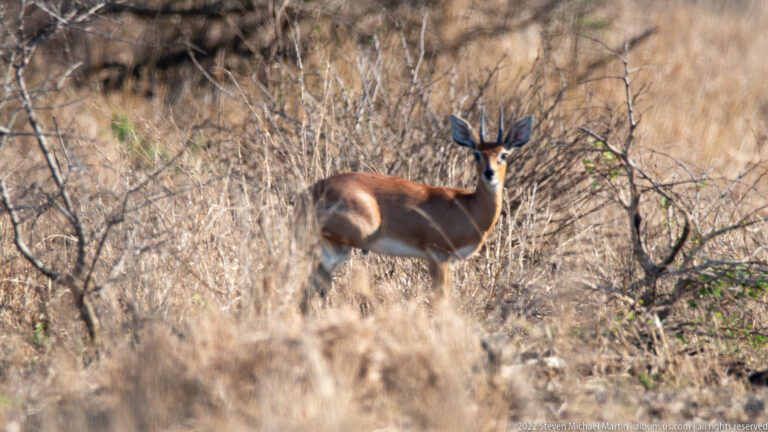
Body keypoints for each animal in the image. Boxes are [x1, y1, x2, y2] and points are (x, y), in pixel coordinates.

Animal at [301, 109, 534, 313]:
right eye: (476, 154)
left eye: (504, 154)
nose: (489, 173)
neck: (468, 207)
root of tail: (310, 191)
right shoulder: (438, 255)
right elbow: (441, 298)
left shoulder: (450, 262)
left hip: (334, 249)